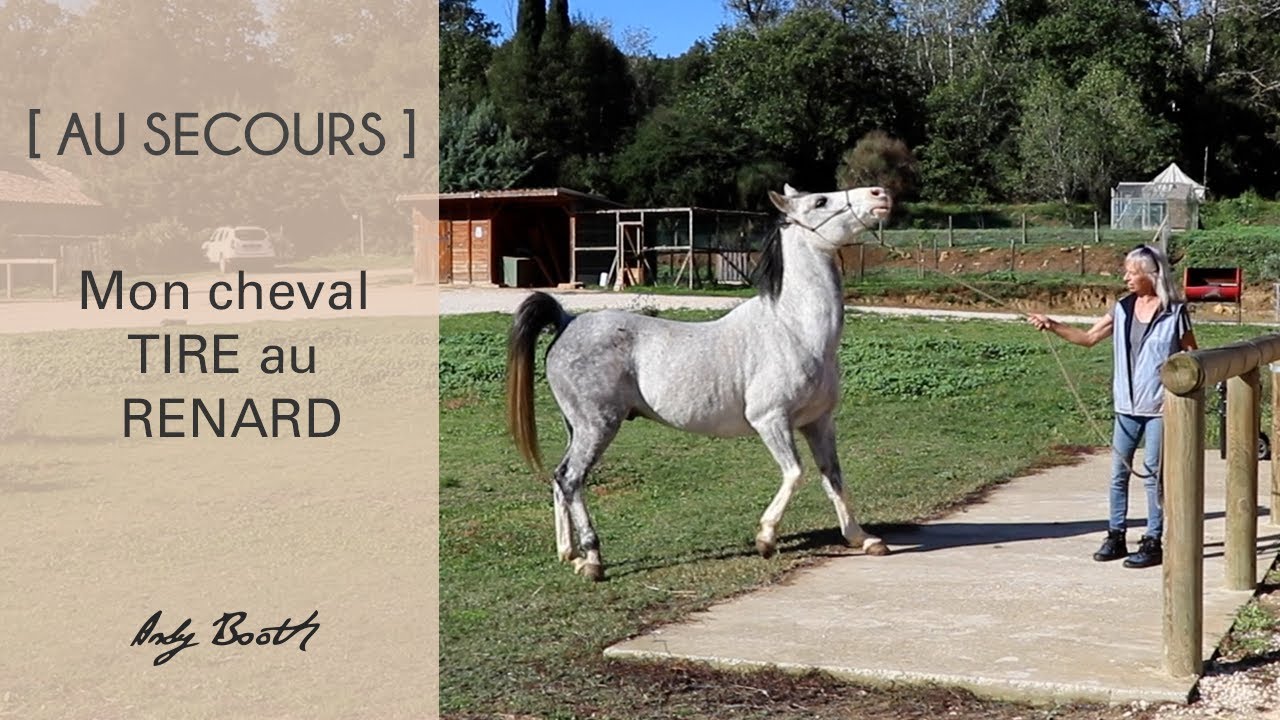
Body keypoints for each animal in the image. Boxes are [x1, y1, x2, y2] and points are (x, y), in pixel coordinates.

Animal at [506, 184, 892, 581]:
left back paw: (569, 554)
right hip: (597, 426)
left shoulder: (818, 423)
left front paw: (862, 538)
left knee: (559, 478)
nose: (880, 195)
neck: (793, 330)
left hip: (578, 428)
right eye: (821, 201)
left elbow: (833, 478)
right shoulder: (771, 420)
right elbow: (795, 473)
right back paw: (593, 558)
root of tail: (567, 321)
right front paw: (765, 539)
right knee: (571, 478)